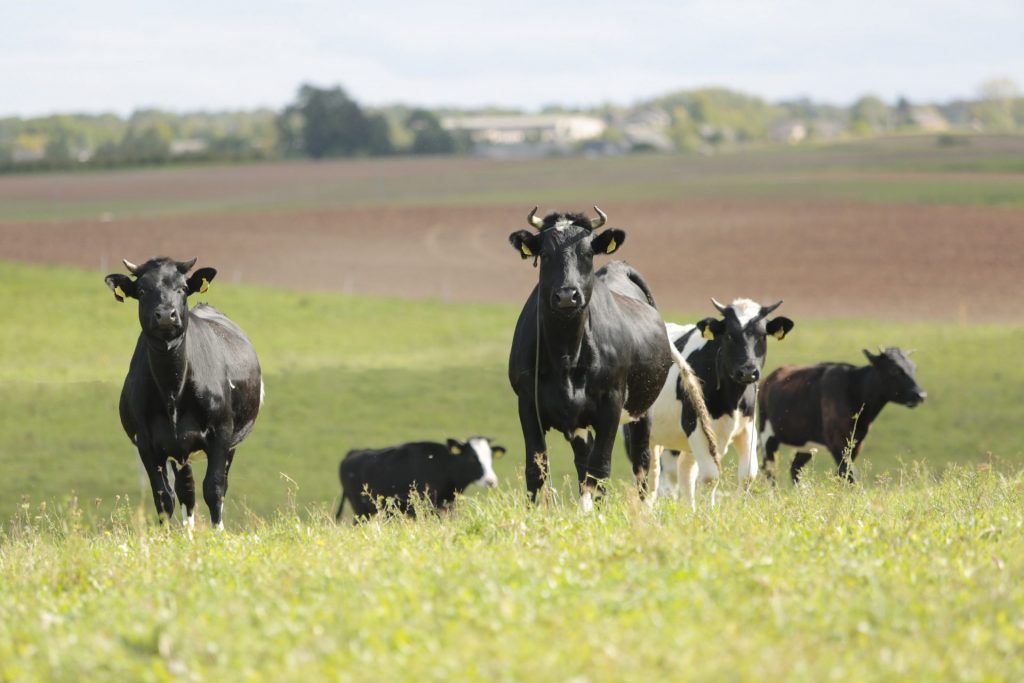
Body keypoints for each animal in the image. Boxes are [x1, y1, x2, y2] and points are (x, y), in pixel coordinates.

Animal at [103, 255, 262, 528]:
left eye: (183, 288)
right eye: (142, 290)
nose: (166, 315)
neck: (172, 389)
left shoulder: (221, 434)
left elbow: (214, 488)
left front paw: (218, 532)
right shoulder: (147, 443)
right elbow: (164, 496)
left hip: (230, 441)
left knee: (216, 486)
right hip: (178, 449)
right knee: (186, 490)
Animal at [337, 436, 505, 520]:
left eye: (490, 457)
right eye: (471, 458)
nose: (491, 480)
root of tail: (353, 452)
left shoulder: (447, 506)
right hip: (360, 510)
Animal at [505, 208, 716, 511]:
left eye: (587, 253)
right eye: (544, 253)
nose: (567, 295)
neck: (566, 354)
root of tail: (618, 268)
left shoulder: (611, 403)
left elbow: (601, 467)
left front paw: (598, 514)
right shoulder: (527, 402)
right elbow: (537, 467)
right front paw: (533, 514)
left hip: (642, 410)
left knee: (641, 463)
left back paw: (642, 509)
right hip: (580, 422)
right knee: (583, 462)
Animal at [630, 296, 790, 509]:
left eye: (763, 335)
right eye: (729, 335)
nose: (748, 371)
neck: (731, 400)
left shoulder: (747, 426)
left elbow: (748, 474)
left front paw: (736, 508)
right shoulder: (696, 426)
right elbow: (710, 477)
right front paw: (710, 512)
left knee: (684, 470)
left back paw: (689, 509)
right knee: (649, 473)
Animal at [761, 344, 929, 483]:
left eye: (914, 368)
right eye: (894, 370)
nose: (920, 395)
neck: (855, 388)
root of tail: (769, 378)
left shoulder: (856, 443)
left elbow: (843, 474)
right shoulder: (837, 443)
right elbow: (849, 475)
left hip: (807, 442)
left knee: (795, 468)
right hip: (767, 435)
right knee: (769, 471)